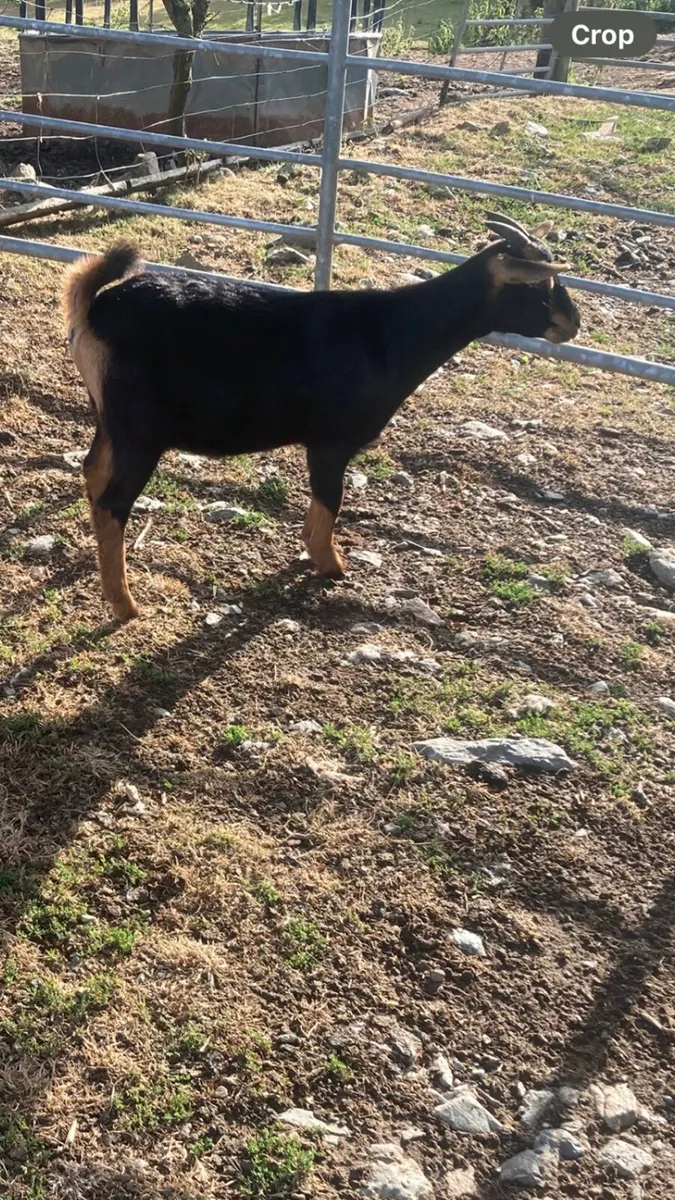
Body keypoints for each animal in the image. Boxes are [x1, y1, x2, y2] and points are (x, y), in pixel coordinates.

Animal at [63, 212, 580, 622]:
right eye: (539, 283)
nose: (573, 324)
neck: (392, 333)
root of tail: (97, 308)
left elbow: (320, 504)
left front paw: (315, 554)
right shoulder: (331, 441)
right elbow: (331, 501)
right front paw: (331, 565)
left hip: (110, 420)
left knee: (92, 471)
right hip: (141, 432)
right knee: (112, 504)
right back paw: (125, 606)